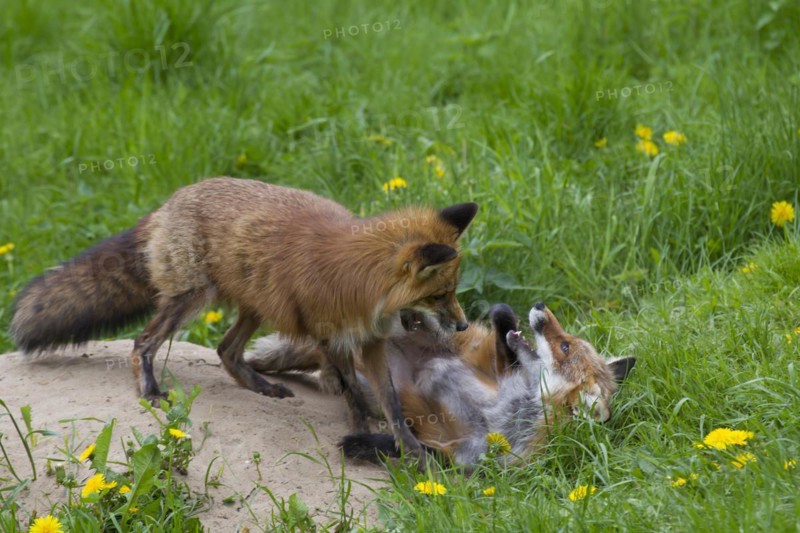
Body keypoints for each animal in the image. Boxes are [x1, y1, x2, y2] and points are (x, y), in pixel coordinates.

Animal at [10, 177, 478, 454]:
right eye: (440, 294)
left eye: (452, 291)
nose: (463, 325)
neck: (359, 282)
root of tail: (168, 202)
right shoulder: (330, 337)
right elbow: (352, 392)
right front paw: (363, 429)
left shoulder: (371, 341)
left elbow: (392, 402)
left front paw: (407, 445)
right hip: (191, 299)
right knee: (142, 342)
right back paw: (151, 390)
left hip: (255, 307)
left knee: (226, 350)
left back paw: (260, 385)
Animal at [246, 302, 635, 465]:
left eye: (565, 347)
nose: (540, 306)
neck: (511, 416)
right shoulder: (494, 374)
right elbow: (501, 335)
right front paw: (505, 320)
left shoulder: (468, 460)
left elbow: (417, 452)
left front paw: (363, 444)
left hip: (369, 384)